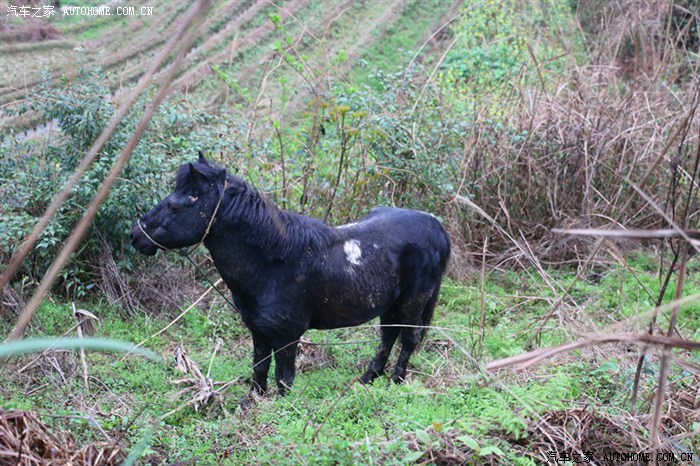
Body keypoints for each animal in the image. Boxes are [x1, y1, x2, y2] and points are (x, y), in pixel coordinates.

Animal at [130, 152, 451, 396]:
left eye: (174, 206)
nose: (135, 235)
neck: (274, 263)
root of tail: (435, 225)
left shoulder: (287, 336)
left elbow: (283, 379)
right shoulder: (258, 330)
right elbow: (259, 369)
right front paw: (252, 403)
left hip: (412, 303)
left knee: (407, 340)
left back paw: (396, 381)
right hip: (391, 304)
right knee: (388, 337)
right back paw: (367, 379)